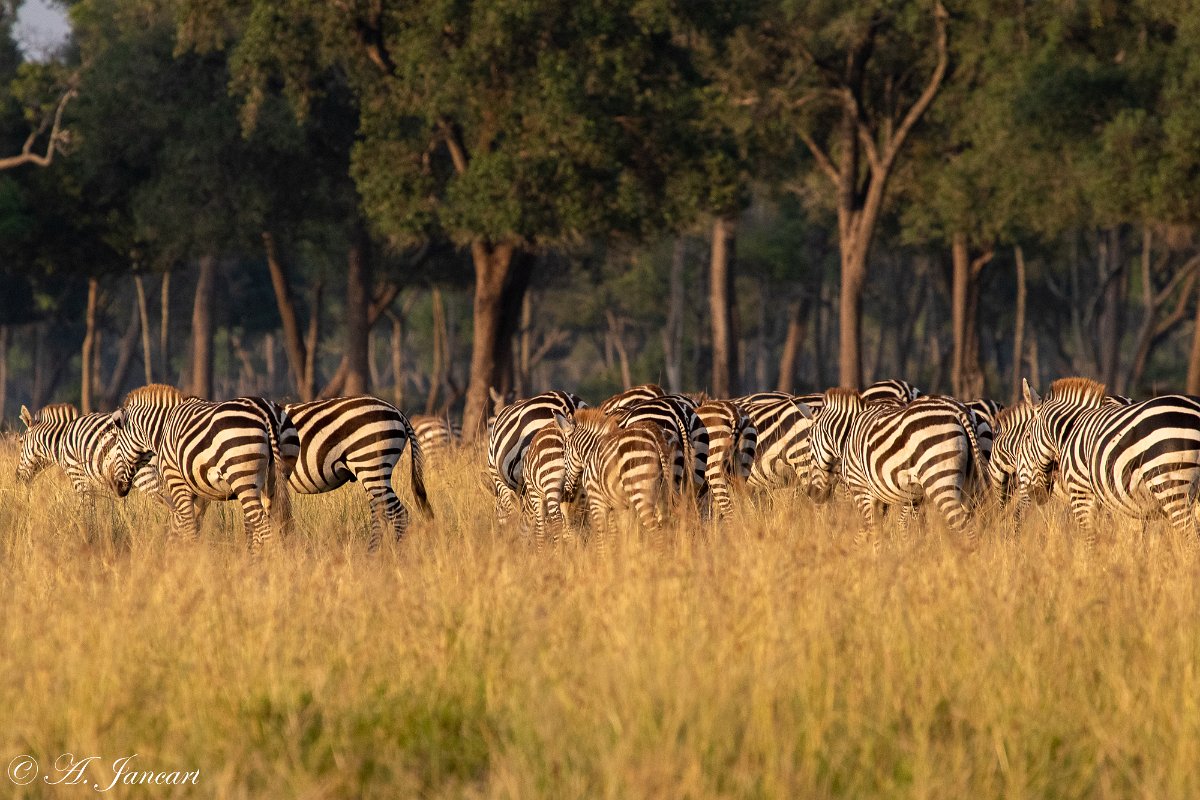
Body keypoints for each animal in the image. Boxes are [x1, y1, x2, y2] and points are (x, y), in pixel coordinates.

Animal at [110, 384, 296, 554]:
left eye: (116, 441)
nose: (116, 486)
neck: (163, 428)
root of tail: (266, 412)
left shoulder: (176, 481)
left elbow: (188, 526)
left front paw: (191, 558)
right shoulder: (200, 492)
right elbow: (189, 525)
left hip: (243, 478)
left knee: (264, 527)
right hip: (274, 478)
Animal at [284, 396, 433, 551]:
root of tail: (398, 412)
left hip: (370, 464)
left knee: (399, 514)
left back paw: (396, 553)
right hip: (372, 472)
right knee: (380, 515)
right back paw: (371, 554)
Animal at [556, 409, 674, 544]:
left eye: (563, 453)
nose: (566, 493)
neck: (591, 451)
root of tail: (652, 430)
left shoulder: (597, 500)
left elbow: (602, 536)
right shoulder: (621, 506)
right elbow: (620, 534)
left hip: (640, 491)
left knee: (656, 532)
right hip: (664, 491)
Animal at [808, 389, 989, 544]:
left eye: (809, 439)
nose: (813, 494)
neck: (848, 435)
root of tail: (960, 411)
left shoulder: (861, 487)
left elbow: (871, 528)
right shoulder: (908, 495)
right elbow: (897, 526)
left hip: (940, 482)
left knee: (966, 528)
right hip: (969, 486)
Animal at [1016, 377, 1200, 542]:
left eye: (1027, 437)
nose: (1036, 494)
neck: (1070, 431)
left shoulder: (1081, 492)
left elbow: (1090, 539)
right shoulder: (1124, 505)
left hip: (1170, 484)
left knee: (1190, 536)